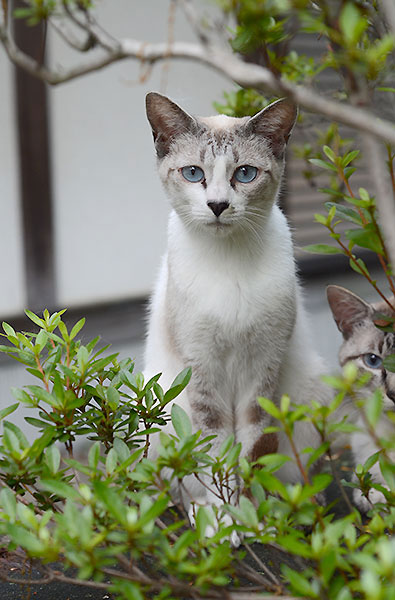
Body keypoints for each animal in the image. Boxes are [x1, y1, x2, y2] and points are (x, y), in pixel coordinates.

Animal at [144, 92, 332, 540]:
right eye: (193, 174)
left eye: (245, 174)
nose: (217, 205)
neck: (227, 261)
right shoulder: (202, 375)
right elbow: (216, 453)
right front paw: (223, 519)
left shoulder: (260, 373)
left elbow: (251, 450)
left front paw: (248, 516)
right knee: (177, 483)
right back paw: (198, 511)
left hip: (311, 393)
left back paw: (295, 505)